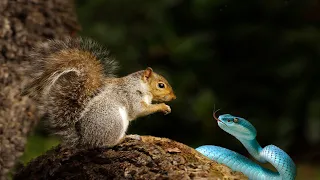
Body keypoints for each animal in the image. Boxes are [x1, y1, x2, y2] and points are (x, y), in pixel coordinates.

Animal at [22, 37, 176, 148]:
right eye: (161, 85)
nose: (174, 97)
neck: (141, 86)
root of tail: (85, 139)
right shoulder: (131, 95)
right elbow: (139, 110)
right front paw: (162, 107)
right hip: (113, 119)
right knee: (106, 143)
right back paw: (126, 138)